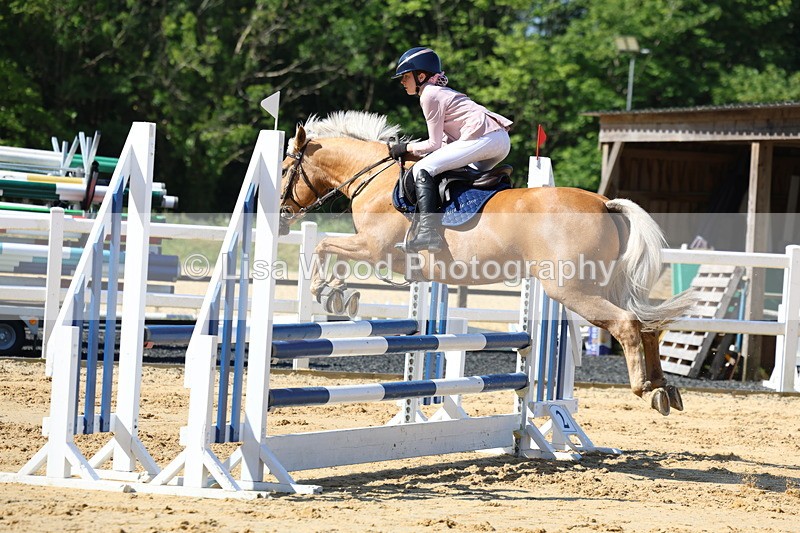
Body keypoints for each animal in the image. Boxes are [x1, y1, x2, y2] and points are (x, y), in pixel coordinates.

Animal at [278, 111, 694, 416]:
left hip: (570, 288)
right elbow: (329, 249)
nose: (281, 217)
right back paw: (664, 387)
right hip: (603, 282)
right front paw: (336, 292)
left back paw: (645, 388)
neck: (376, 180)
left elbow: (324, 247)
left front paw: (331, 293)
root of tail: (605, 203)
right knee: (648, 323)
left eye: (283, 170)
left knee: (626, 323)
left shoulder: (375, 248)